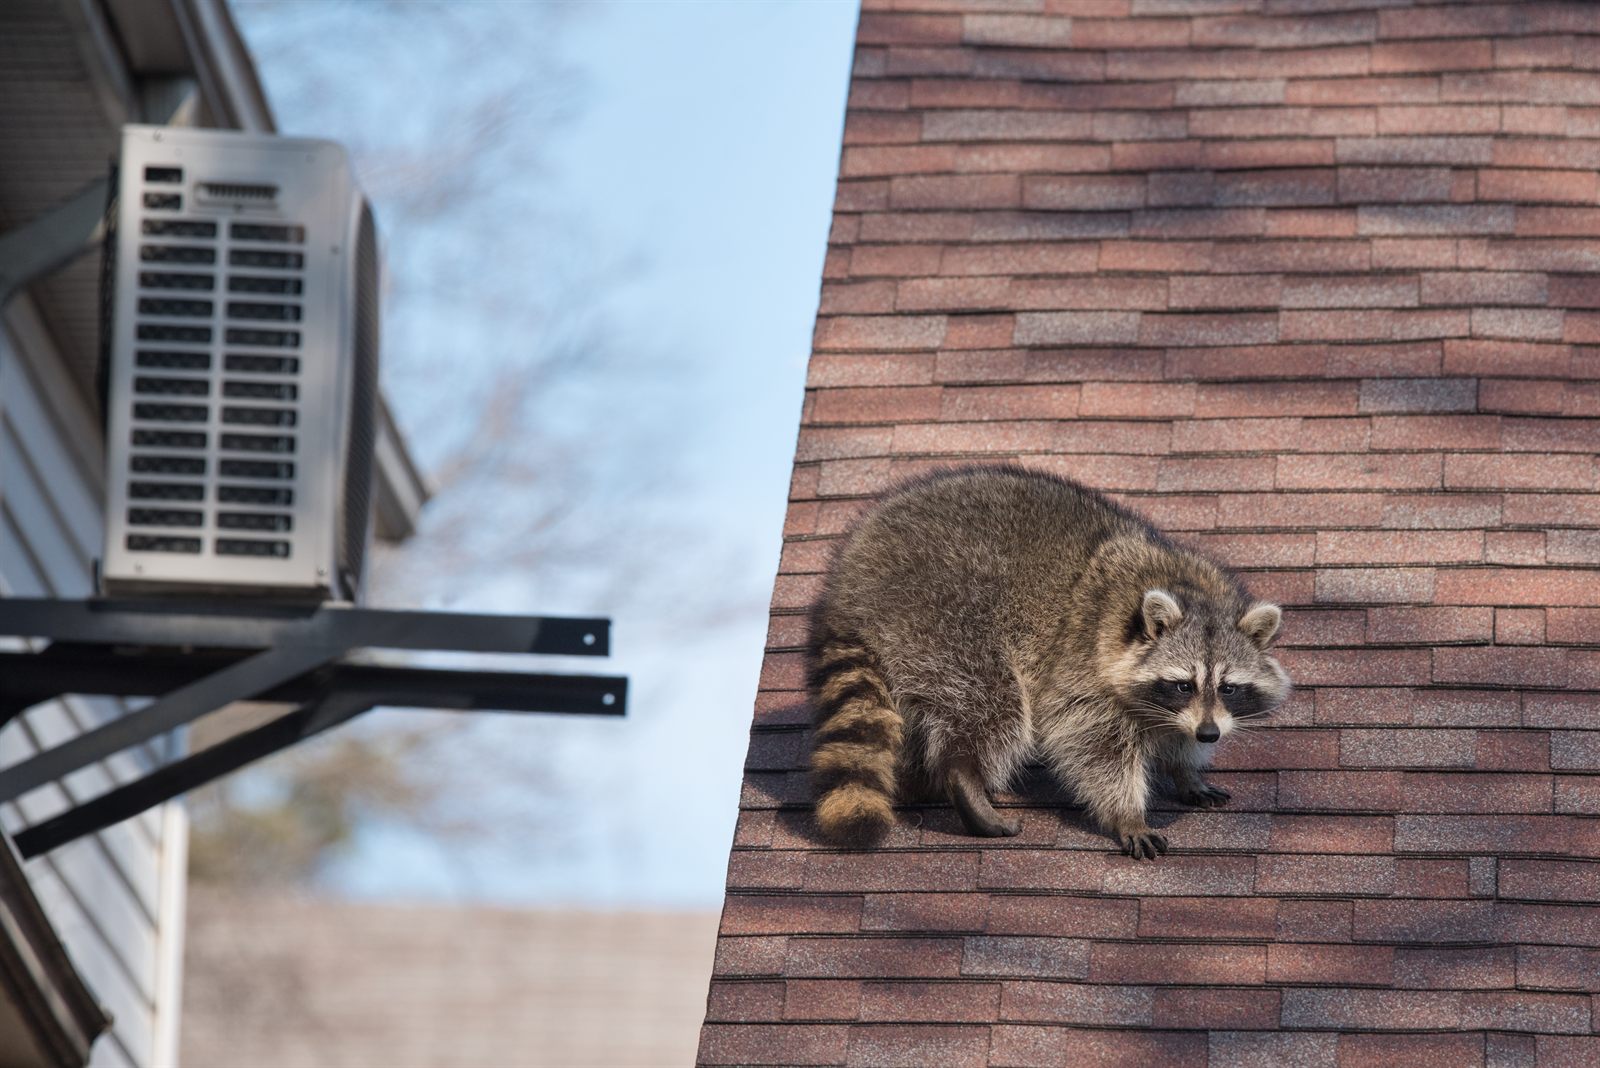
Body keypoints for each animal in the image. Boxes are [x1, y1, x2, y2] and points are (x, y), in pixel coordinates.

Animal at [807, 465, 1290, 859]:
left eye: (1228, 687)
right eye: (1183, 684)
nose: (1209, 734)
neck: (1190, 591)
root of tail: (850, 587)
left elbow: (1176, 735)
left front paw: (1186, 769)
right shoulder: (1083, 658)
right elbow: (1090, 744)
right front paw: (1127, 812)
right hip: (947, 617)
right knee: (990, 701)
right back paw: (963, 773)